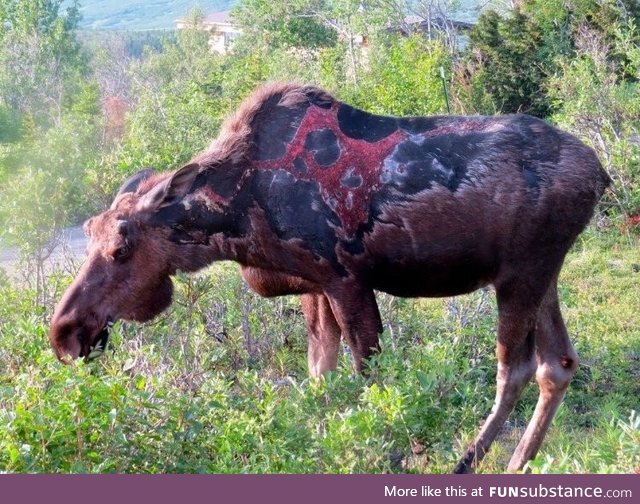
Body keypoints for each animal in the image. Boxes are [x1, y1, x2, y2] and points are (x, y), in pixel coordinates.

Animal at [50, 82, 608, 472]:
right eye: (88, 231)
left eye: (122, 248)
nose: (64, 332)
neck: (237, 216)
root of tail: (601, 174)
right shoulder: (314, 286)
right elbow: (321, 376)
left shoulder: (345, 279)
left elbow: (371, 378)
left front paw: (391, 453)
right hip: (542, 273)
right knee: (558, 363)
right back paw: (519, 462)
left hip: (520, 274)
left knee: (514, 369)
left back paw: (468, 463)